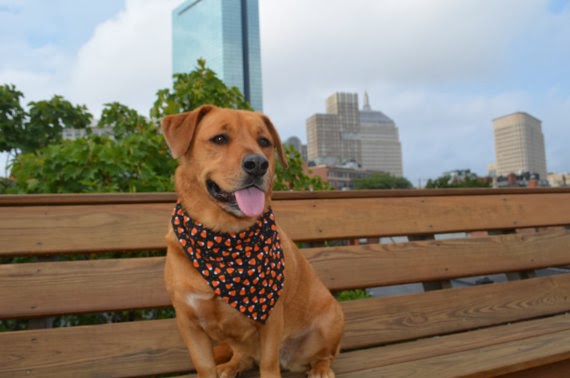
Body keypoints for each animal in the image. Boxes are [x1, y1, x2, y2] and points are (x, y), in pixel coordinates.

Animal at [162, 105, 344, 378]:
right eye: (219, 138)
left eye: (264, 142)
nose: (258, 164)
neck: (226, 237)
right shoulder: (189, 323)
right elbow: (204, 366)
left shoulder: (271, 317)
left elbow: (268, 365)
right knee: (244, 356)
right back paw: (232, 365)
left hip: (333, 318)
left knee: (325, 355)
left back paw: (320, 368)